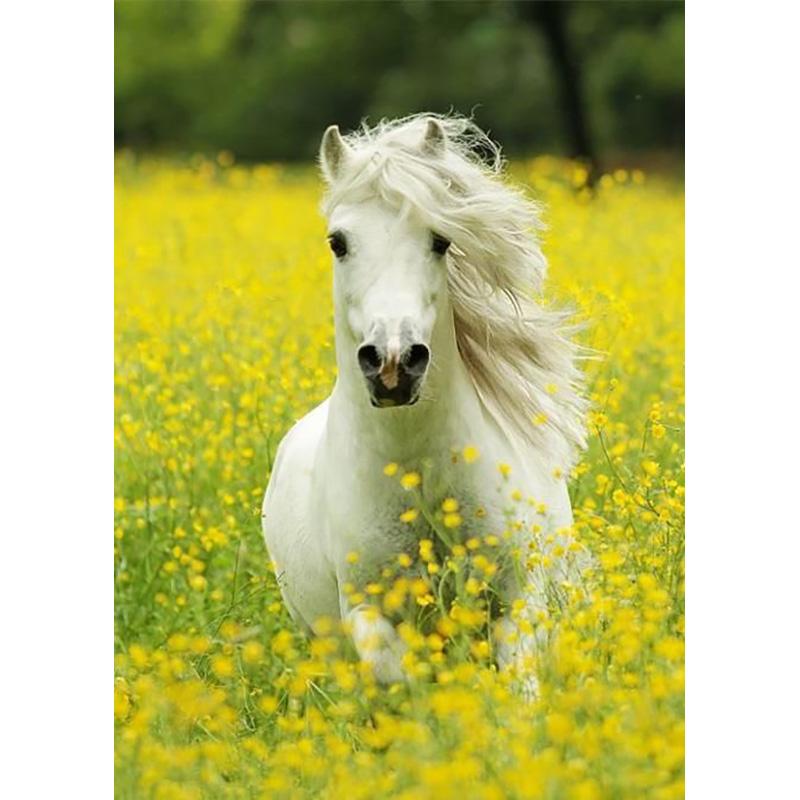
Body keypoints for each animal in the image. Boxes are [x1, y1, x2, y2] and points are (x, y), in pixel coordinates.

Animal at [262, 114, 587, 691]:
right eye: (337, 242)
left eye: (440, 239)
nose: (393, 362)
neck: (421, 477)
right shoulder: (366, 614)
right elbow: (403, 681)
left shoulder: (521, 602)